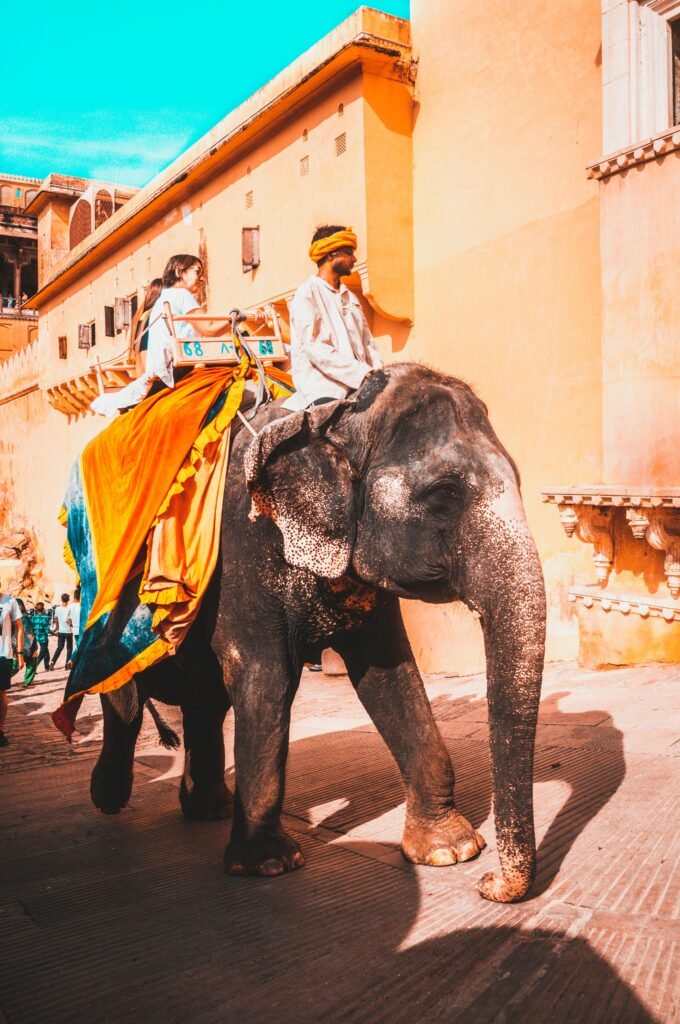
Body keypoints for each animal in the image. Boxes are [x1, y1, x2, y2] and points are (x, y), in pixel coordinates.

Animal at [91, 366, 548, 905]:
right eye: (443, 494)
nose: (489, 885)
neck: (336, 416)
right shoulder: (245, 553)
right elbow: (265, 677)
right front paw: (268, 865)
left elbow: (392, 676)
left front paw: (449, 850)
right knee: (124, 699)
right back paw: (110, 799)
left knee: (207, 701)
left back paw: (208, 809)